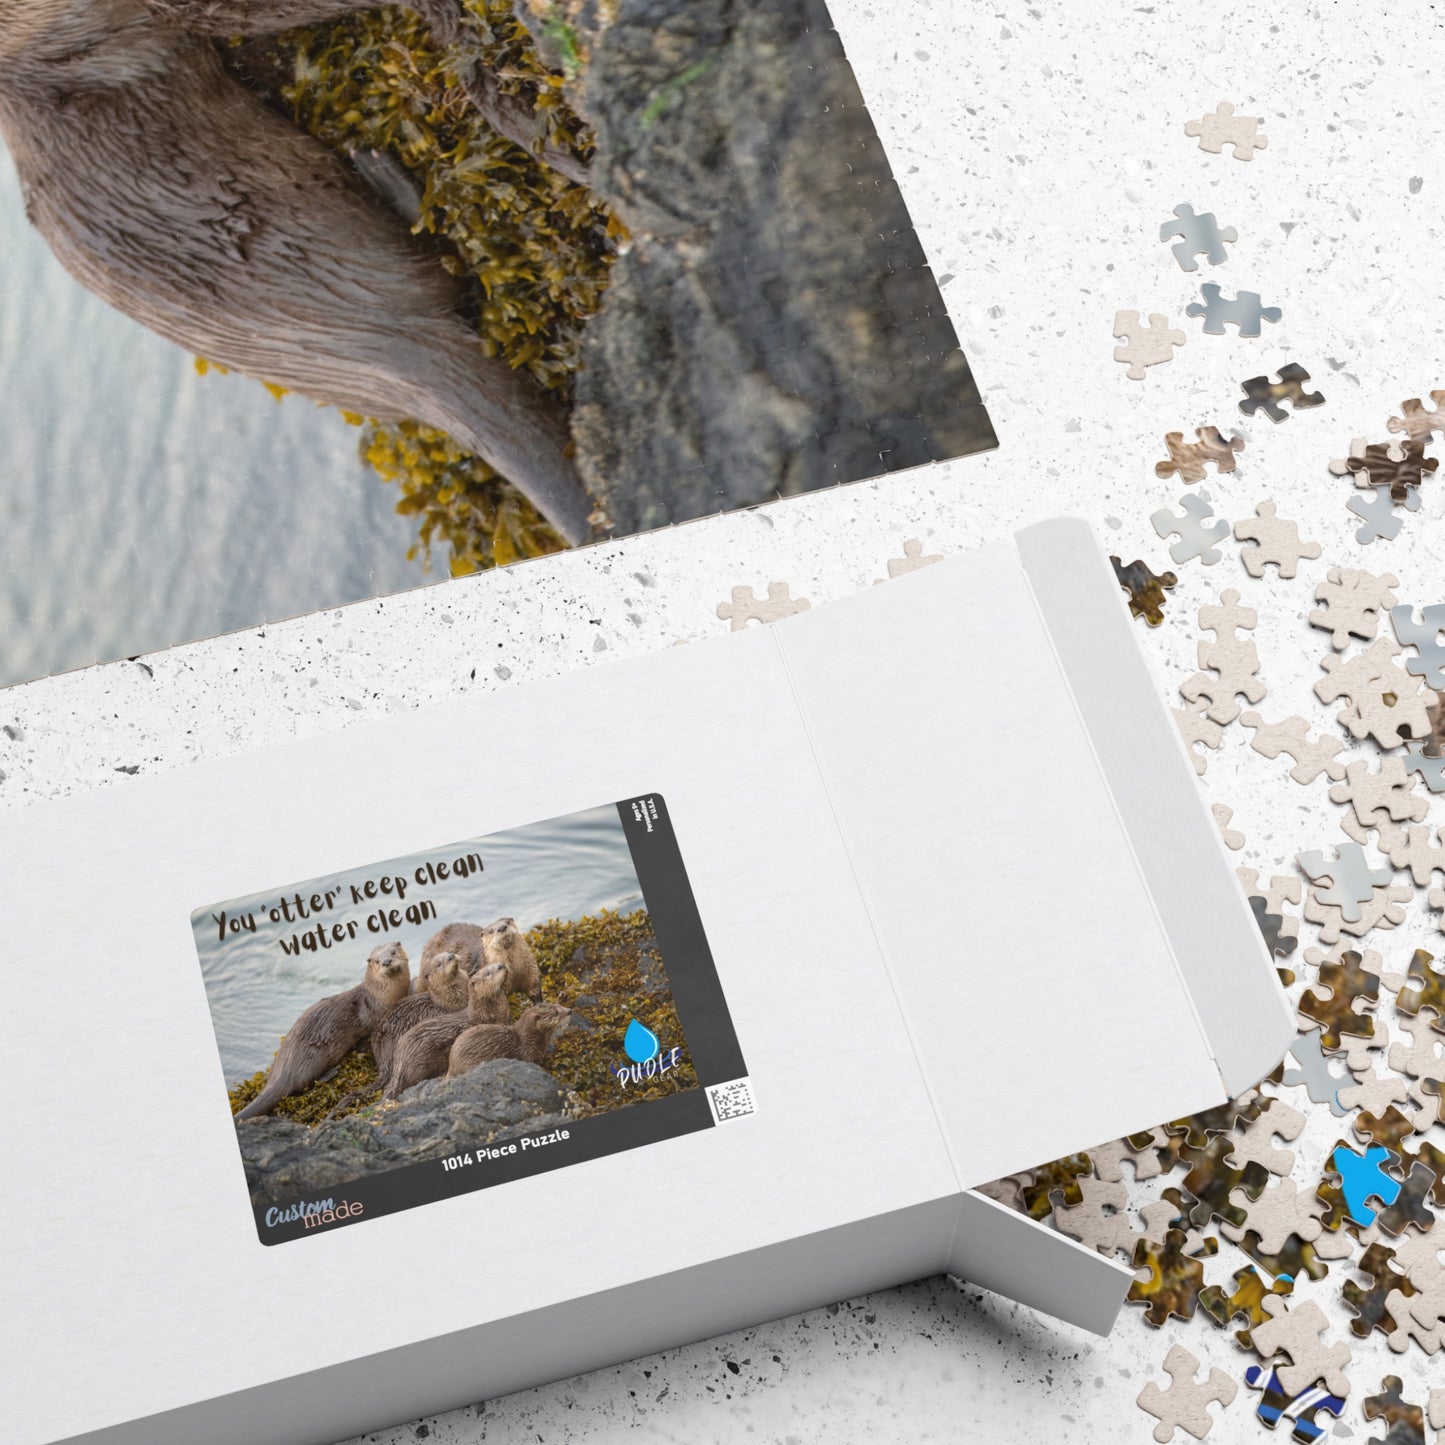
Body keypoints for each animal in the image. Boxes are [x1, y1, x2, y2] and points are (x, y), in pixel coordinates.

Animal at [236, 941, 410, 1119]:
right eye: (377, 961)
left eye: (393, 952)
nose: (386, 962)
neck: (381, 993)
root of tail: (282, 1072)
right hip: (315, 1057)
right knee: (303, 1084)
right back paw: (332, 1072)